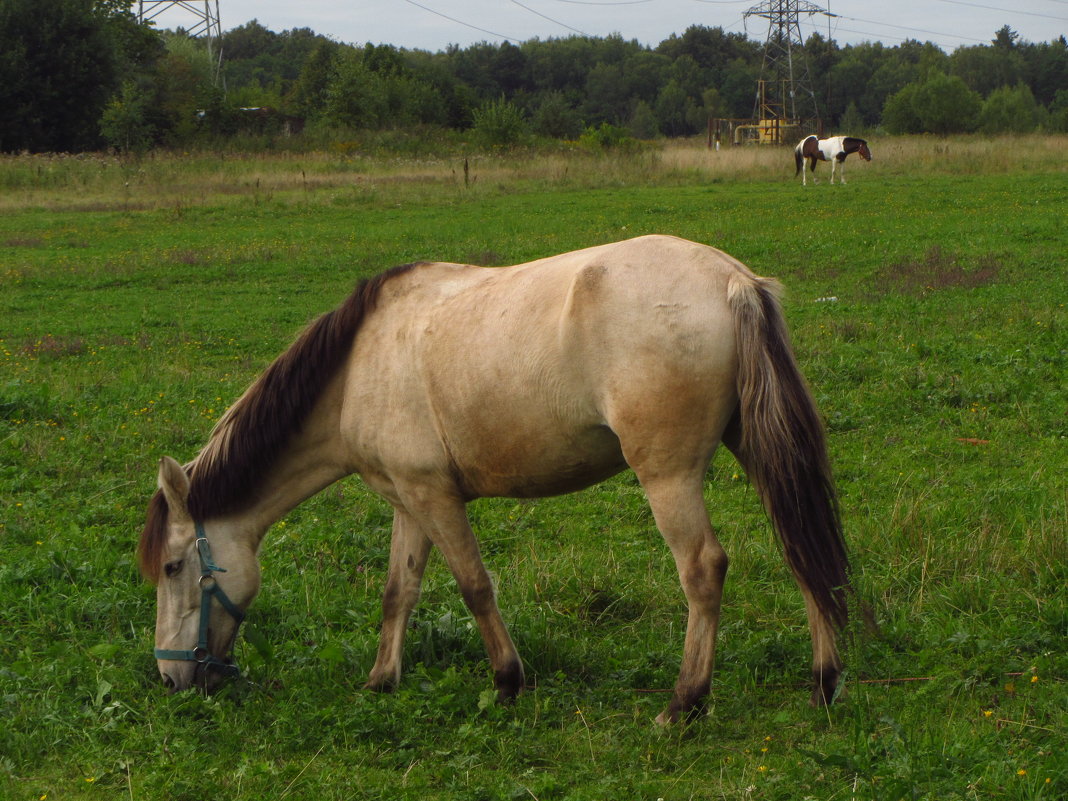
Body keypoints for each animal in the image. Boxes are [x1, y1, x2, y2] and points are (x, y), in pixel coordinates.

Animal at [139, 233, 850, 726]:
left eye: (173, 567)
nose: (170, 680)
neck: (357, 368)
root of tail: (733, 281)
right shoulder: (409, 501)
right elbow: (398, 592)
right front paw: (381, 680)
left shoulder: (435, 497)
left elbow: (475, 587)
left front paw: (508, 681)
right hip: (757, 450)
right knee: (800, 546)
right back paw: (824, 681)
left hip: (668, 477)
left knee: (703, 569)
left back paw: (685, 702)